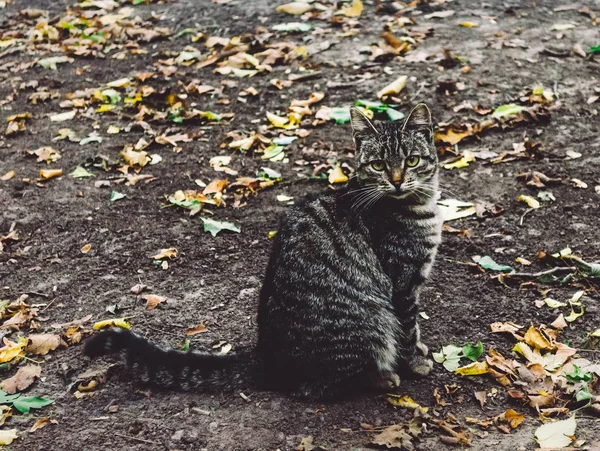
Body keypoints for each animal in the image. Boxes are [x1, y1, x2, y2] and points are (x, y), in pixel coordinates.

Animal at [84, 104, 440, 400]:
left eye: (411, 160)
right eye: (379, 164)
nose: (397, 181)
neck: (421, 207)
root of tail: (266, 355)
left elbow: (414, 330)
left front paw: (421, 349)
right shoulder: (403, 282)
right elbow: (407, 330)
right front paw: (415, 363)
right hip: (371, 321)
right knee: (320, 387)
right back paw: (381, 378)